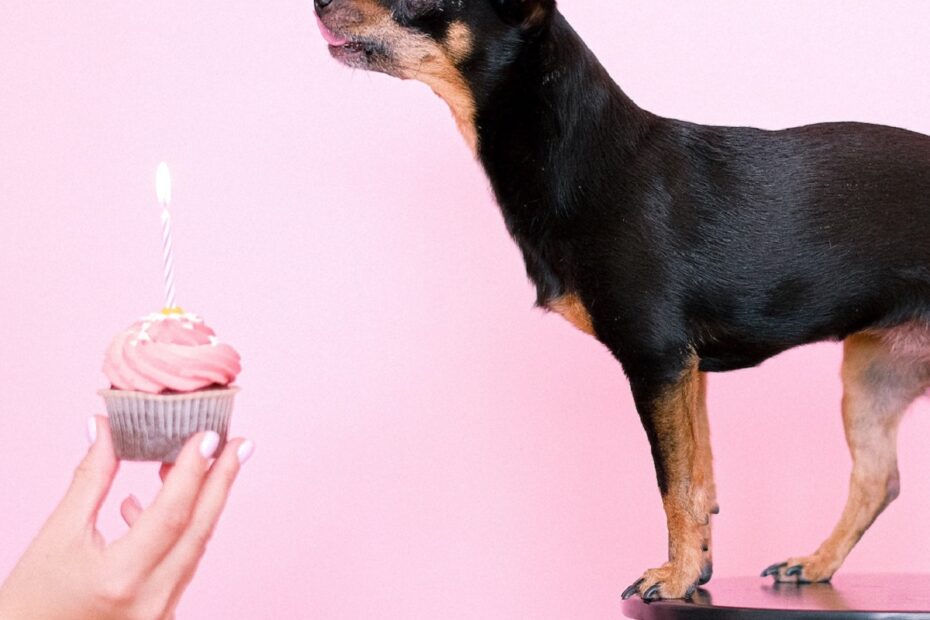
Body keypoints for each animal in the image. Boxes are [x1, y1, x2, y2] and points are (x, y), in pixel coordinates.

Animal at [316, 0, 928, 600]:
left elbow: (673, 482)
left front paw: (675, 577)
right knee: (878, 479)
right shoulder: (687, 373)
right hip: (871, 374)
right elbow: (699, 478)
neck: (583, 157)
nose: (318, 3)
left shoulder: (657, 361)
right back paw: (817, 562)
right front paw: (696, 568)